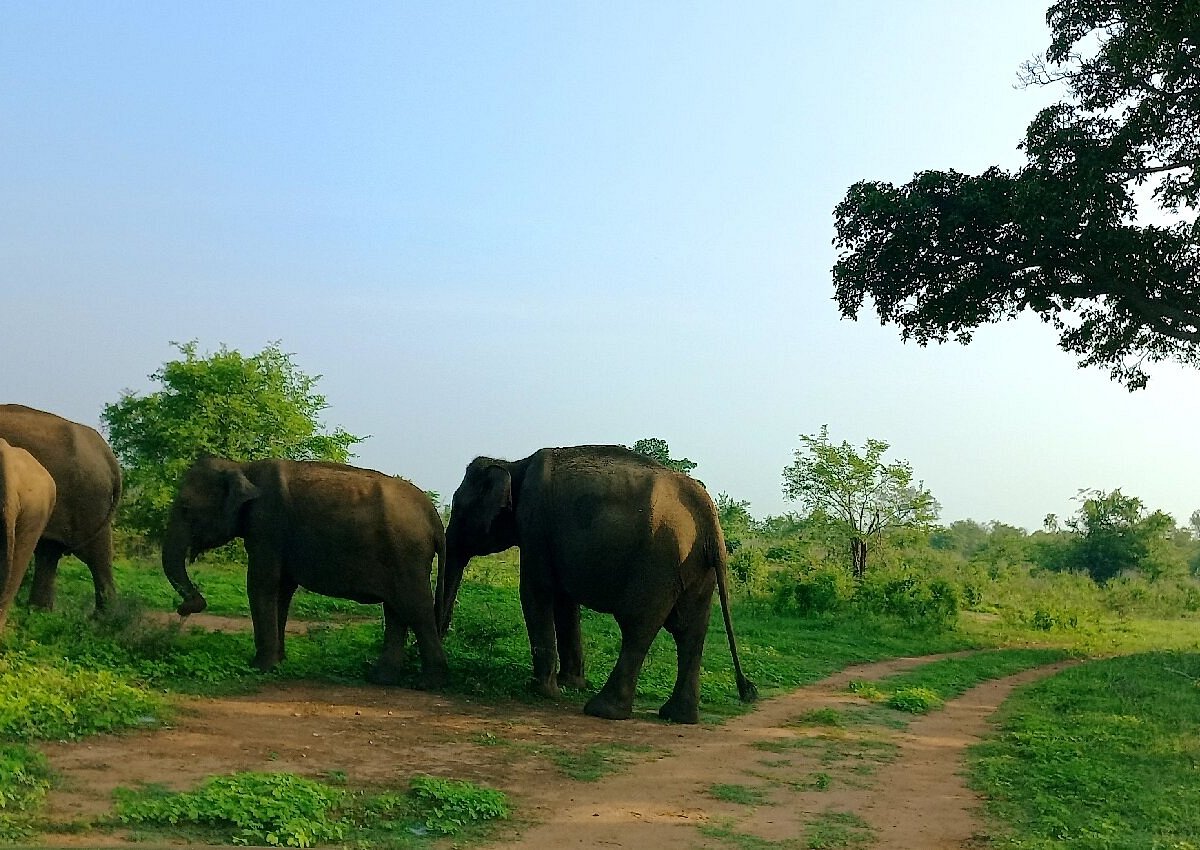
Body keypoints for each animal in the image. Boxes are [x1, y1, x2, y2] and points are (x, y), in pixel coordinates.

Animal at [0, 403, 121, 609]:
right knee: (49, 551)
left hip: (89, 497)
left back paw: (105, 616)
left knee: (96, 555)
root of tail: (108, 454)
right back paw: (38, 609)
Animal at [164, 453, 451, 686]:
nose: (187, 607)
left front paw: (259, 667)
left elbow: (262, 583)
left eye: (185, 509)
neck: (242, 467)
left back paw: (428, 683)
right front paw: (278, 662)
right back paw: (381, 679)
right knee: (396, 611)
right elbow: (282, 591)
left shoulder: (268, 526)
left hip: (407, 554)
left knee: (416, 609)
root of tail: (434, 517)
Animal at [439, 444, 758, 725]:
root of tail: (710, 518)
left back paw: (602, 710)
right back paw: (678, 716)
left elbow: (536, 592)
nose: (445, 635)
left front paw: (542, 691)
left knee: (638, 627)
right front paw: (571, 684)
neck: (515, 465)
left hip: (658, 563)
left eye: (459, 509)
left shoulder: (535, 526)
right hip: (698, 568)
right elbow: (565, 603)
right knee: (690, 630)